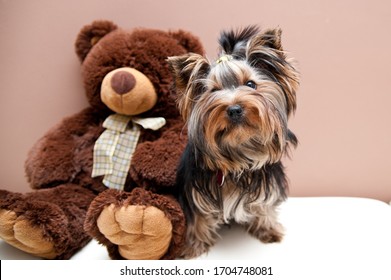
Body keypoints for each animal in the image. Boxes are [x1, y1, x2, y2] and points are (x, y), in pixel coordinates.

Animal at [168, 25, 300, 258]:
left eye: (251, 84)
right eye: (213, 90)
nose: (234, 109)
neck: (239, 152)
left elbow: (264, 206)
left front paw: (268, 230)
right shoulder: (194, 192)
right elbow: (198, 218)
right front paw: (193, 247)